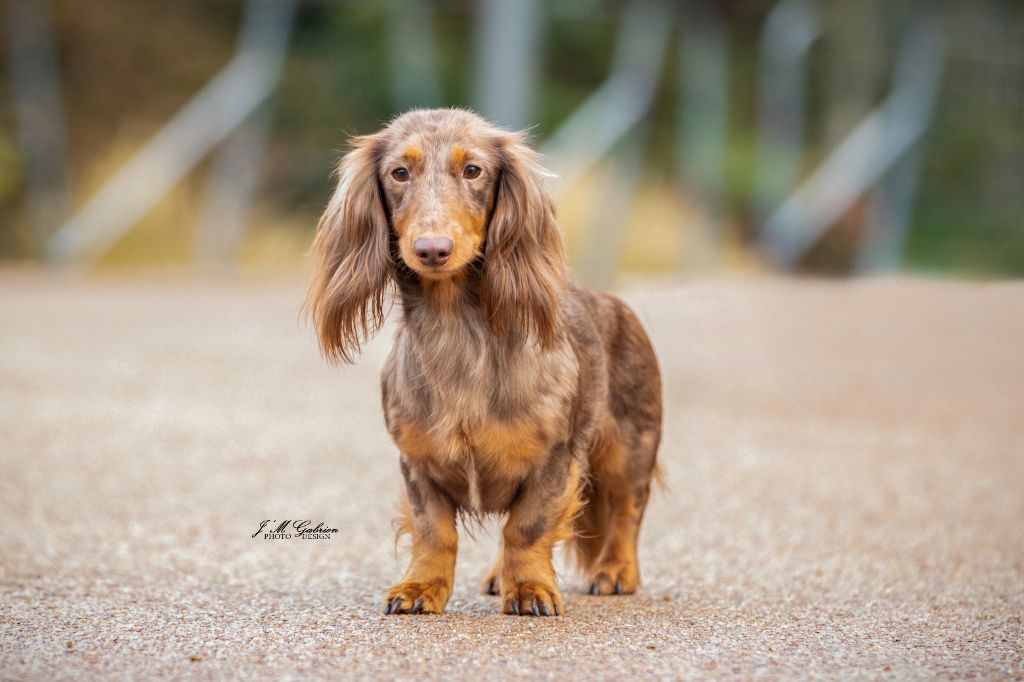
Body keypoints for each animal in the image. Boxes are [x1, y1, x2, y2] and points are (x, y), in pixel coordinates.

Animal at [305, 107, 663, 614]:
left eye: (473, 170)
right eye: (399, 172)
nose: (432, 249)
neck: (456, 331)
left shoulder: (552, 460)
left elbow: (527, 528)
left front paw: (530, 589)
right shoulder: (418, 464)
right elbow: (435, 533)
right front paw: (420, 588)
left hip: (629, 450)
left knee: (629, 511)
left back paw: (615, 571)